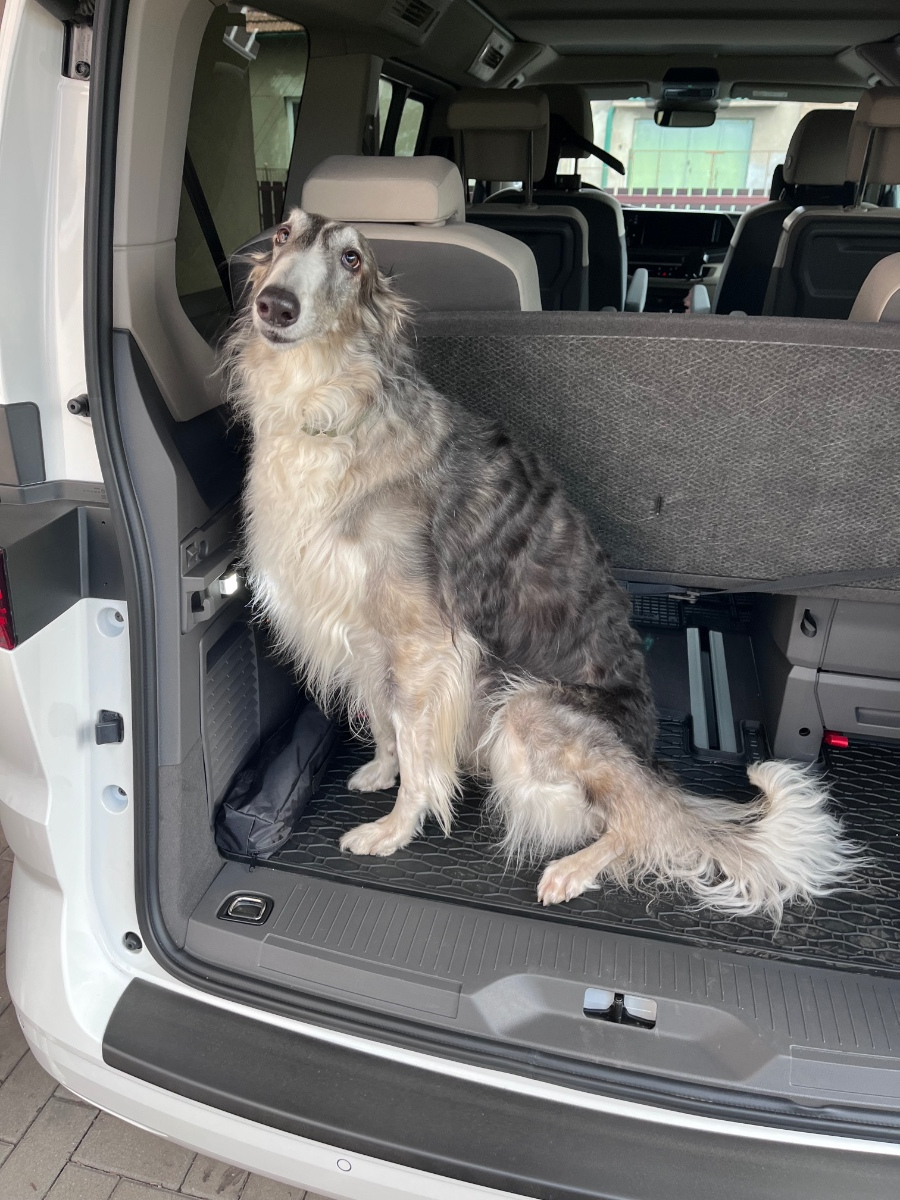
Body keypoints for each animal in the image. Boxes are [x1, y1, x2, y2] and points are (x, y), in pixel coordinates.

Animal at [225, 208, 856, 917]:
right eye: (282, 235)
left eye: (352, 258)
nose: (275, 305)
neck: (330, 404)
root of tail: (648, 760)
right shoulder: (362, 627)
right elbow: (389, 728)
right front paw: (381, 772)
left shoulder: (422, 642)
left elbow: (418, 756)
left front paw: (394, 829)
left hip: (528, 711)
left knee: (641, 825)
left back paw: (573, 869)